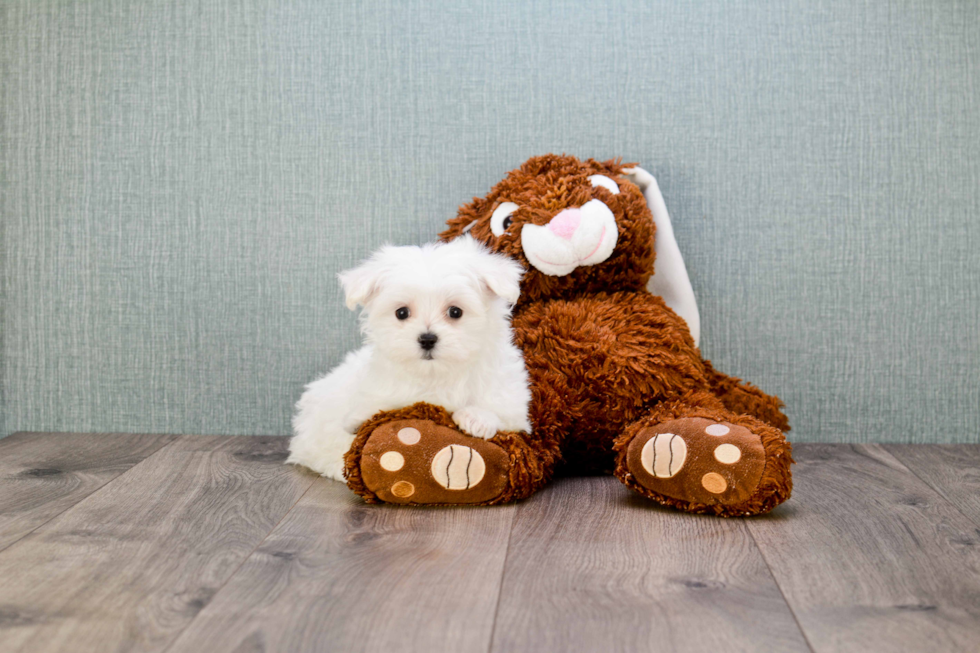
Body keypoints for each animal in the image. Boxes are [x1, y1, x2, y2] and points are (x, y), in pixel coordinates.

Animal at [288, 234, 532, 478]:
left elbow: (502, 412)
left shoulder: (511, 401)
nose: (427, 339)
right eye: (402, 313)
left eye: (455, 311)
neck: (436, 374)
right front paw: (358, 420)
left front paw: (476, 418)